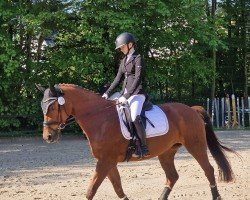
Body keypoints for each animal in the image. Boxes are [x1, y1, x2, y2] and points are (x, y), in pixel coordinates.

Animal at [37, 83, 236, 199]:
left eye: (52, 107)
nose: (48, 137)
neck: (100, 118)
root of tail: (191, 109)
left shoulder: (105, 161)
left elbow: (91, 191)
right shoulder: (107, 162)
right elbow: (117, 188)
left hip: (196, 146)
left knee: (208, 170)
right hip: (167, 152)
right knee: (172, 176)